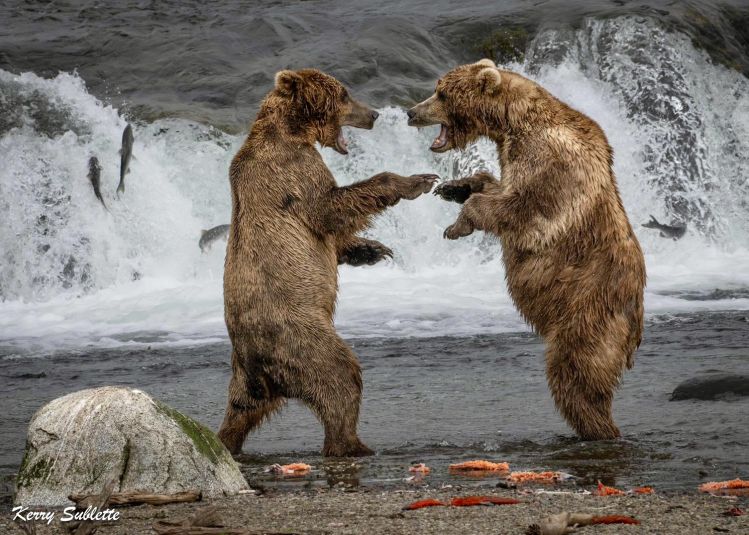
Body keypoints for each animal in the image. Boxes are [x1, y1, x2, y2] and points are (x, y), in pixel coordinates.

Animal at [216, 69, 436, 458]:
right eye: (345, 95)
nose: (373, 114)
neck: (291, 131)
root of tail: (256, 363)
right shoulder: (293, 173)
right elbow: (328, 208)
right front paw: (417, 180)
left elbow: (334, 234)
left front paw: (371, 250)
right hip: (297, 336)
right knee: (339, 376)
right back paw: (353, 444)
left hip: (244, 379)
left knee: (238, 412)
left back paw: (227, 442)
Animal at [406, 60, 644, 442]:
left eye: (440, 93)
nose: (412, 112)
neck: (511, 124)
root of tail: (636, 322)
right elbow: (495, 184)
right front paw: (455, 187)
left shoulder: (549, 165)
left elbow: (519, 207)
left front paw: (457, 225)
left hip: (587, 312)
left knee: (576, 374)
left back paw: (594, 426)